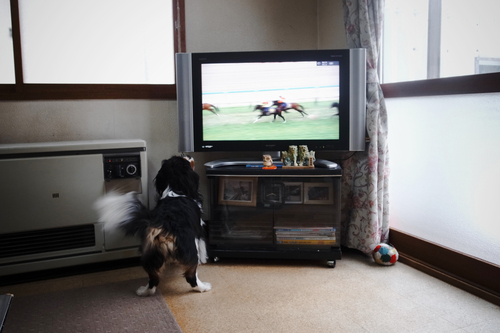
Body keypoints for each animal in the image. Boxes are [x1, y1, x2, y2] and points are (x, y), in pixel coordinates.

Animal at [94, 154, 211, 294]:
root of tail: (163, 226)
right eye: (185, 160)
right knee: (191, 276)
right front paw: (204, 259)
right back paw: (204, 287)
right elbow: (202, 246)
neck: (175, 189)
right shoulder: (199, 228)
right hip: (190, 250)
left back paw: (143, 292)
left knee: (153, 280)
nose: (187, 154)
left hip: (150, 255)